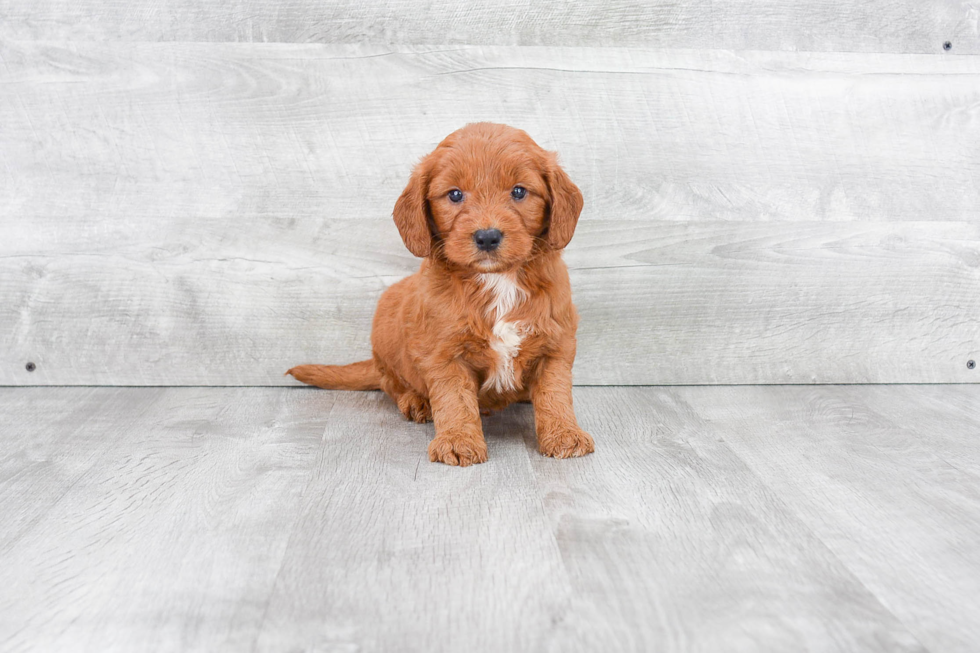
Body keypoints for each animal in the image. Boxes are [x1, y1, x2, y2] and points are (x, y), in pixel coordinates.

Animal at [288, 122, 592, 466]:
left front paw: (564, 433)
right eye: (455, 194)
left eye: (518, 191)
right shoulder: (444, 351)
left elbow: (555, 392)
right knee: (390, 382)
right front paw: (458, 440)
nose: (487, 237)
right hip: (386, 327)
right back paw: (416, 401)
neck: (497, 281)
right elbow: (454, 398)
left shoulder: (556, 342)